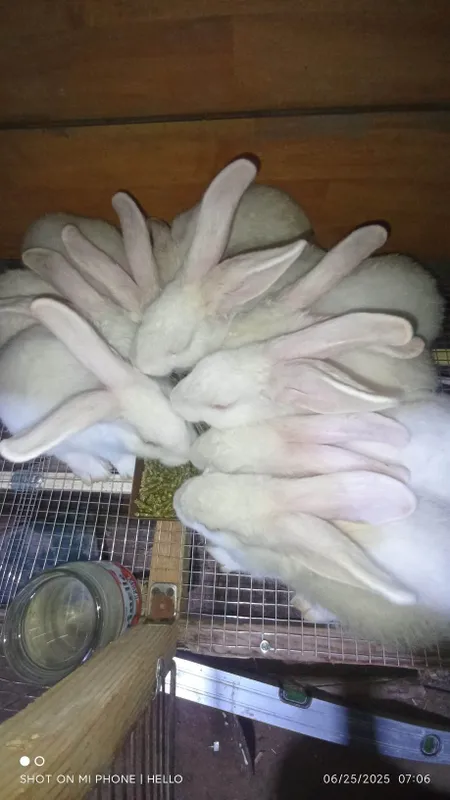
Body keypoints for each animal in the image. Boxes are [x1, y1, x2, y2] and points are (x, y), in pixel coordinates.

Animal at [0, 297, 196, 482]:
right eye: (150, 443)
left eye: (167, 396)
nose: (188, 453)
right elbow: (115, 455)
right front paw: (127, 471)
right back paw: (96, 473)